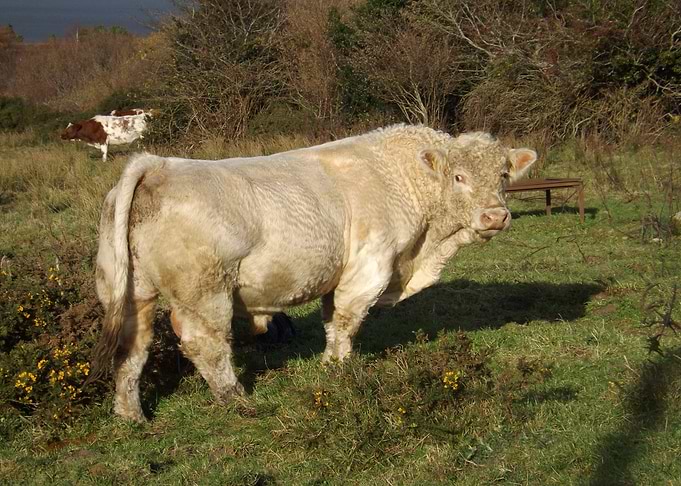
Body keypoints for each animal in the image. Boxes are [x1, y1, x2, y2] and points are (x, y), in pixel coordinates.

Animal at [88, 124, 536, 421]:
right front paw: (338, 369)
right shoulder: (369, 268)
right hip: (205, 291)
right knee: (206, 344)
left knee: (131, 348)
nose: (495, 216)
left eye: (503, 176)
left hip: (130, 291)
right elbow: (347, 320)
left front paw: (334, 365)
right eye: (458, 177)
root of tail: (158, 165)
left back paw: (131, 416)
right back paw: (237, 400)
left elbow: (332, 320)